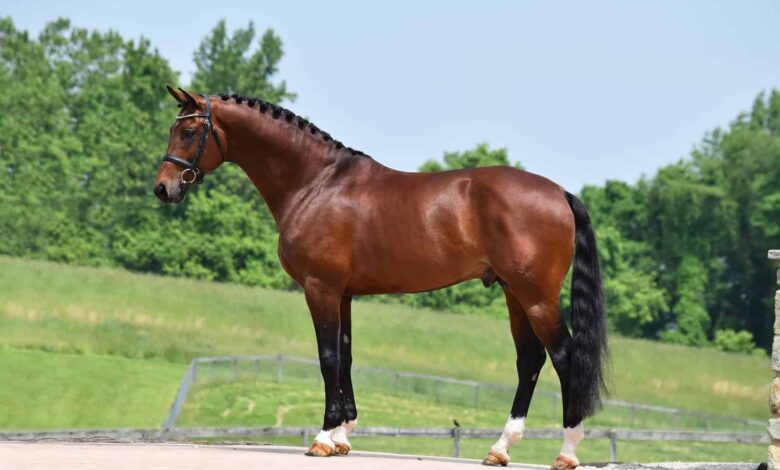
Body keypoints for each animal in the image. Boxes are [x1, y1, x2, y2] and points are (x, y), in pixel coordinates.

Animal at [153, 87, 608, 469]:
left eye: (189, 130)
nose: (163, 188)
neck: (315, 183)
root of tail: (560, 193)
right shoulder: (344, 294)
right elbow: (346, 355)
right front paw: (342, 436)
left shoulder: (320, 288)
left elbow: (327, 357)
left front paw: (323, 438)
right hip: (514, 293)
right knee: (529, 359)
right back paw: (500, 449)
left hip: (537, 297)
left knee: (564, 357)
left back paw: (566, 452)